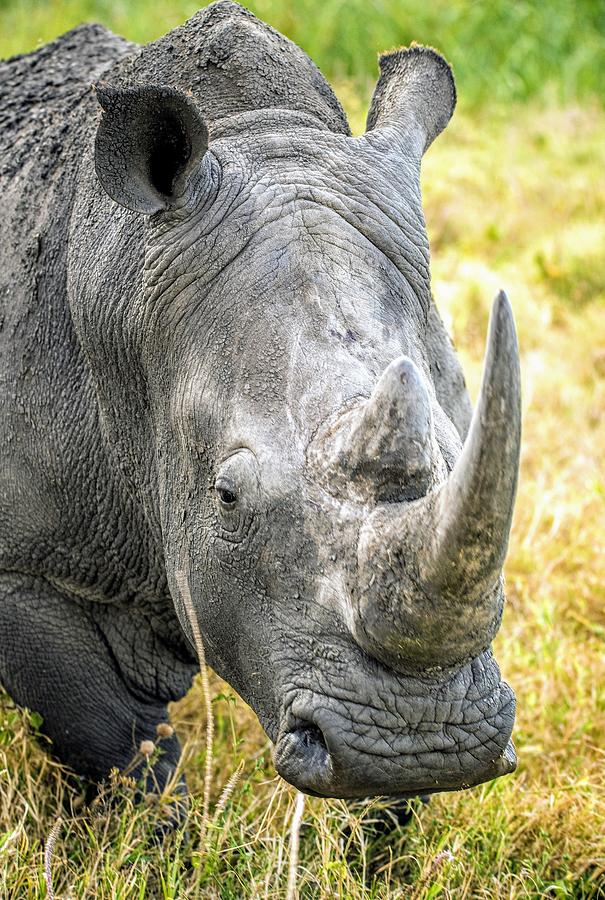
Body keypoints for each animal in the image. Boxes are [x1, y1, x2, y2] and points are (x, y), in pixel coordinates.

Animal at [0, 0, 520, 800]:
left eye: (464, 455)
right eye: (226, 497)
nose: (419, 744)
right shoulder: (27, 565)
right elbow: (115, 746)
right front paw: (161, 829)